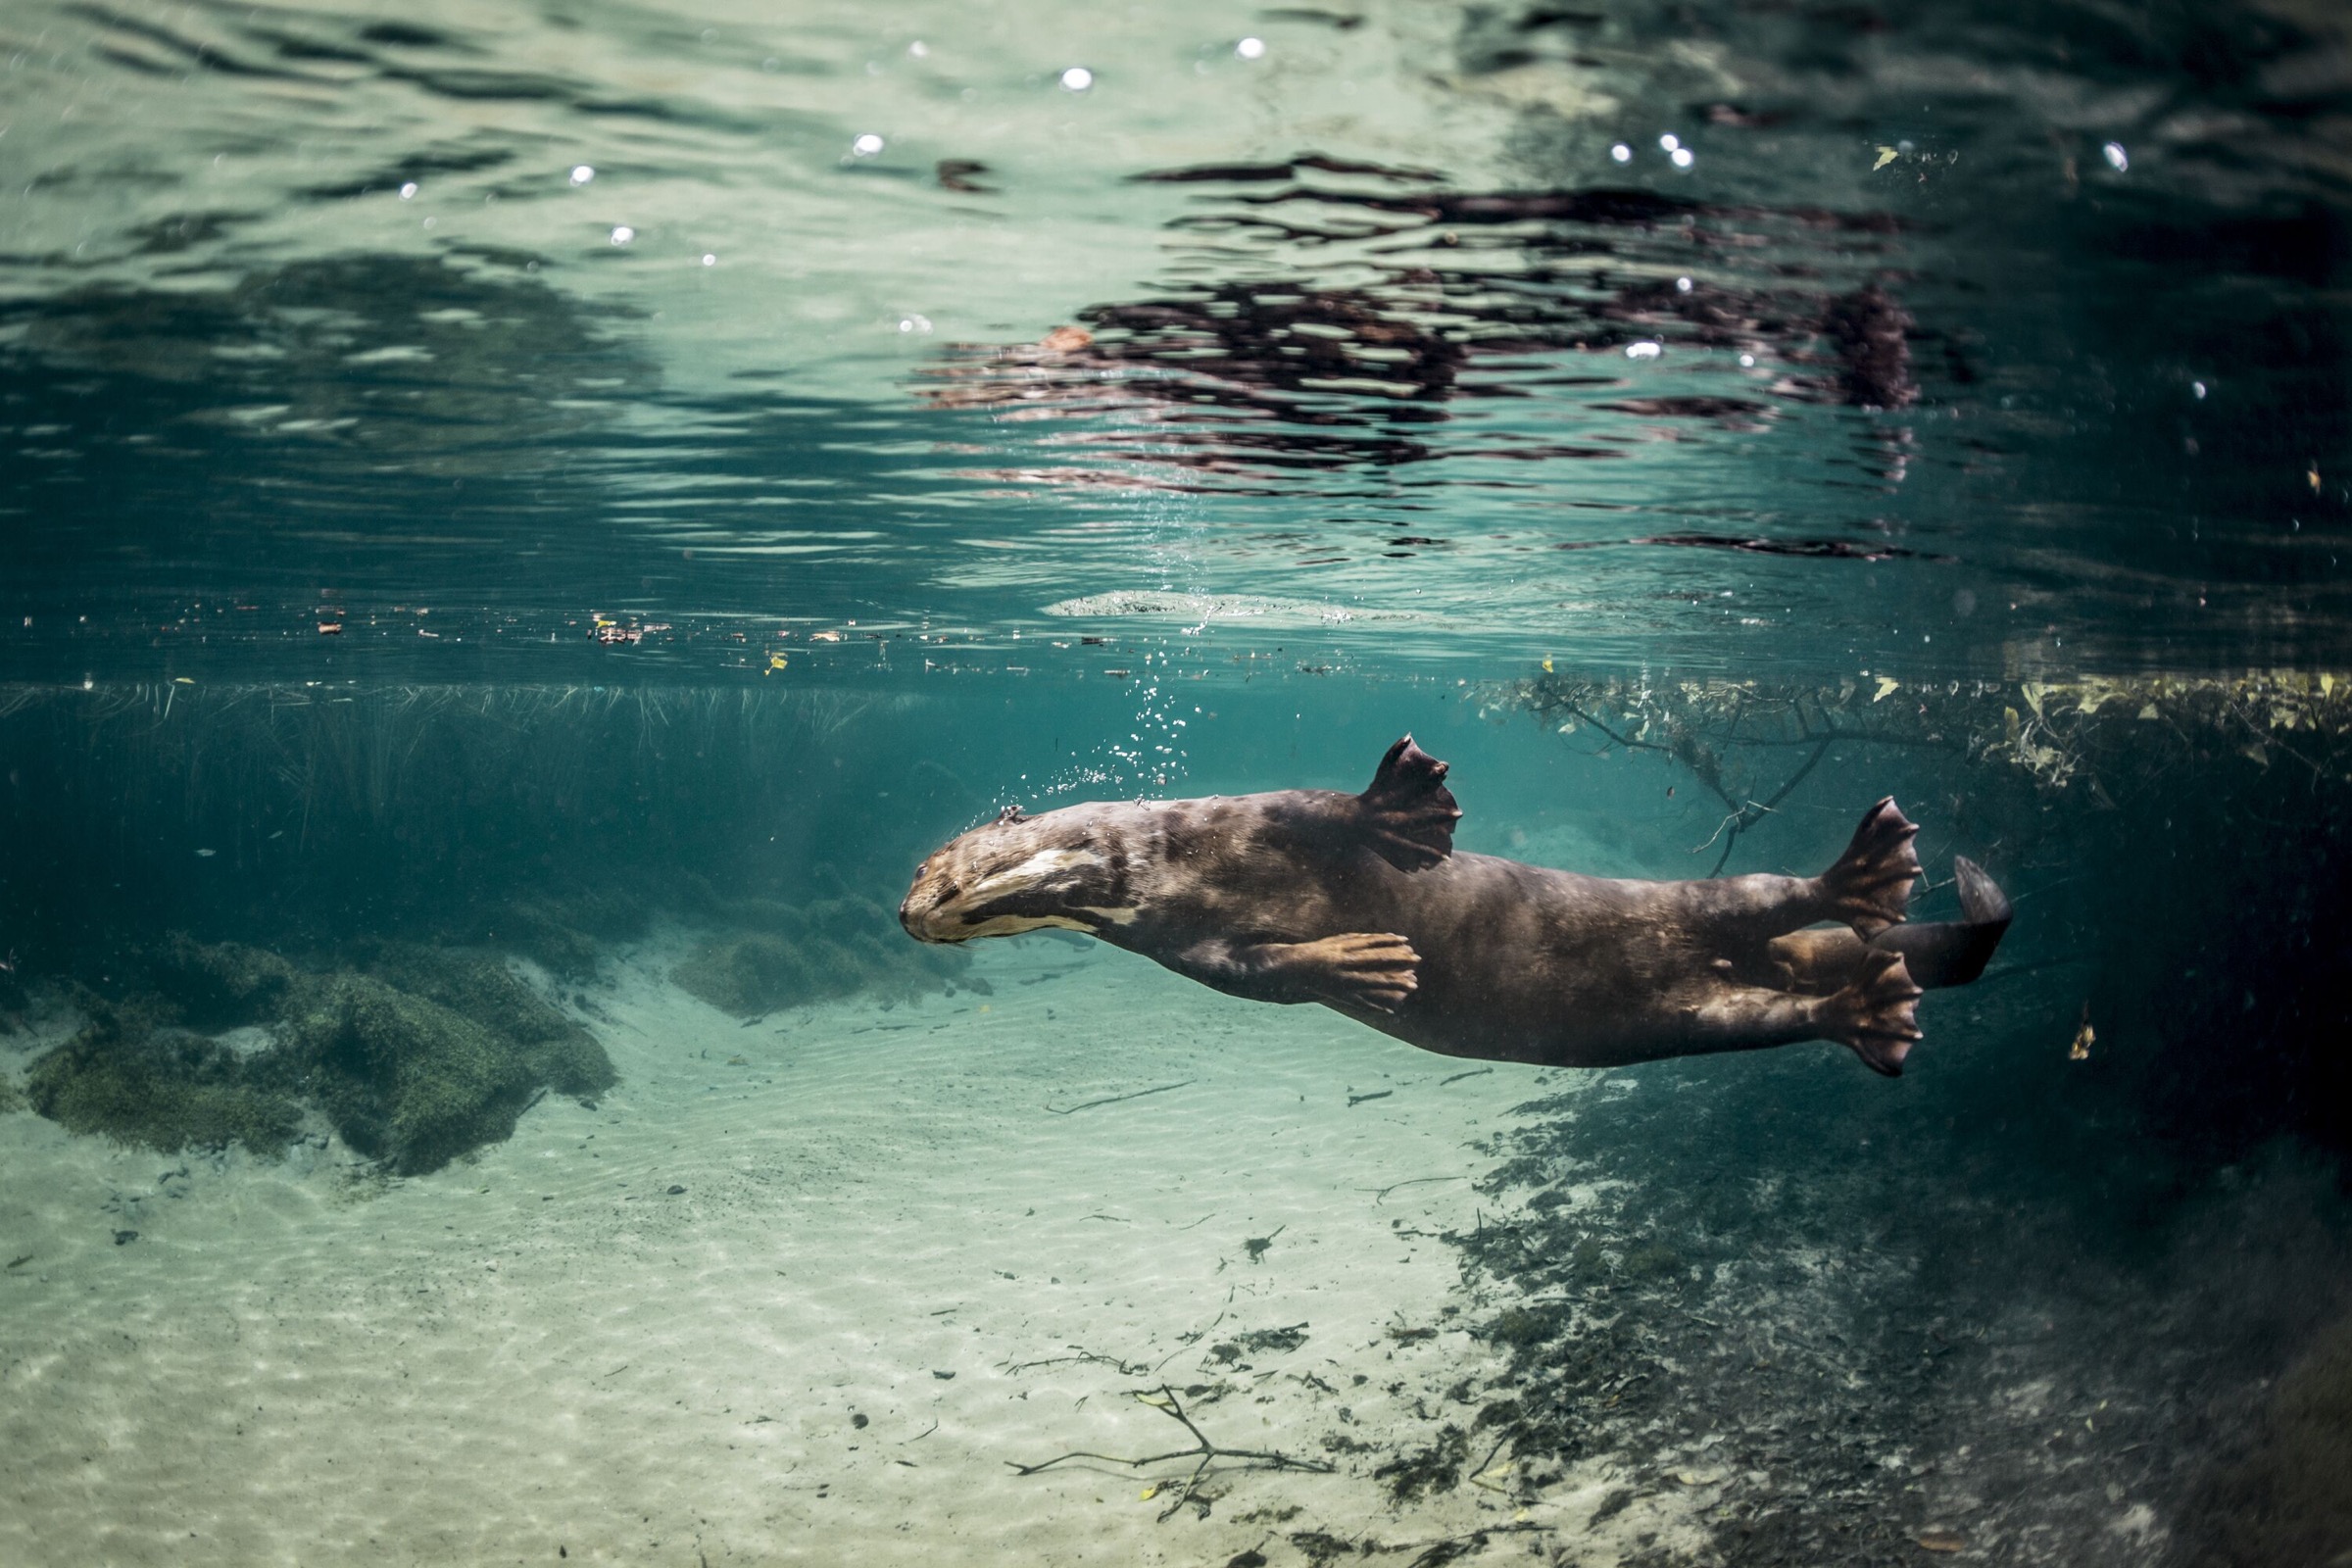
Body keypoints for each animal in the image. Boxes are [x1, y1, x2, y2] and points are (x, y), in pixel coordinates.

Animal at [899, 737, 2010, 1075]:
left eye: (930, 864)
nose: (909, 913)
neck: (1178, 864)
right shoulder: (1188, 947)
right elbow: (1261, 973)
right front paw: (1370, 965)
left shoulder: (1260, 809)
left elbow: (1333, 807)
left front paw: (1401, 806)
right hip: (1698, 1014)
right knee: (1782, 1010)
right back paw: (1875, 1009)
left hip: (1710, 901)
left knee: (1767, 893)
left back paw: (1866, 870)